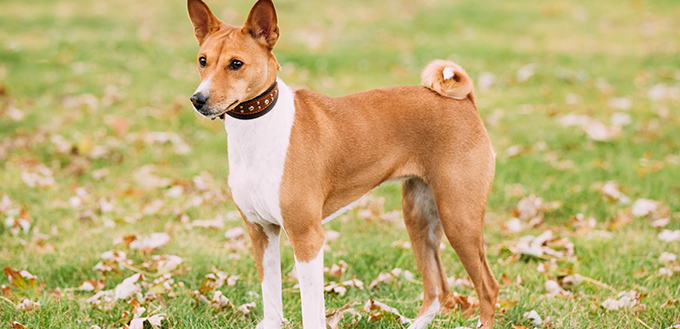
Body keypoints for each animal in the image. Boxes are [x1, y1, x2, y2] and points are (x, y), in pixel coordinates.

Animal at [186, 1, 500, 326]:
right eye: (202, 60)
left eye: (236, 64)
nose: (198, 99)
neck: (259, 131)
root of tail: (465, 101)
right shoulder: (261, 231)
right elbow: (271, 302)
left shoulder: (307, 237)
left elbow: (312, 312)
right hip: (419, 217)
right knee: (437, 289)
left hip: (458, 217)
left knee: (488, 287)